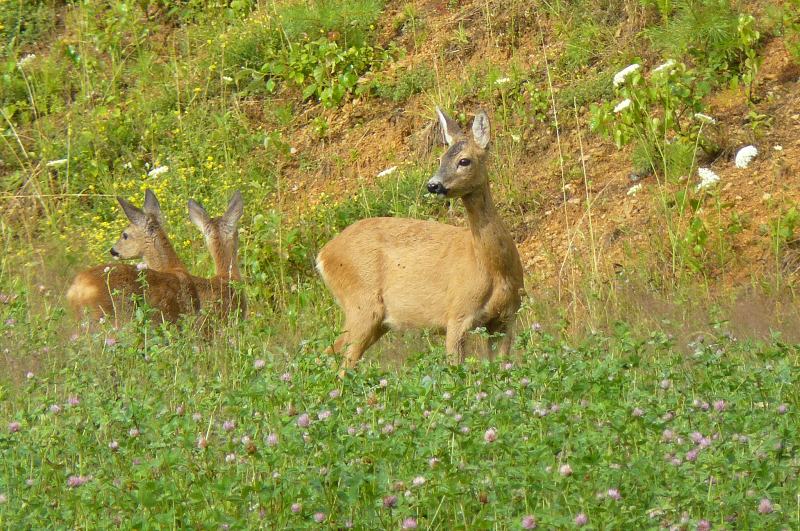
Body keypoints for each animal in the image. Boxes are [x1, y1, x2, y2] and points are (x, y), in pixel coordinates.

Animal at [312, 108, 524, 370]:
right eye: (440, 159)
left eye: (464, 160)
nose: (433, 185)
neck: (493, 268)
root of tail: (323, 255)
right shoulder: (457, 314)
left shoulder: (505, 319)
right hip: (361, 305)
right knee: (342, 363)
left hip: (375, 320)